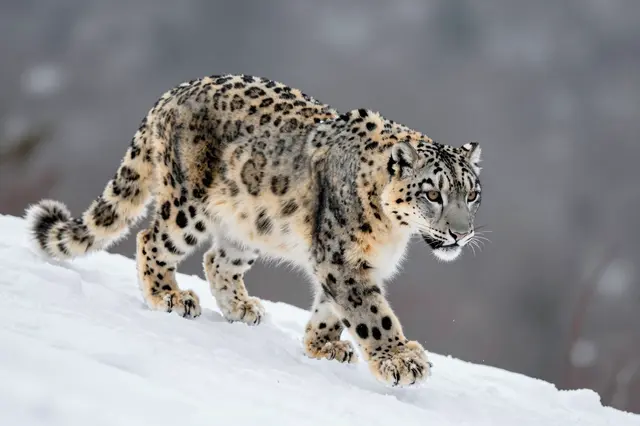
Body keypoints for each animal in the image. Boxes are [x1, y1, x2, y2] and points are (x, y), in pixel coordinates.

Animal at [25, 74, 483, 387]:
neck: (392, 234)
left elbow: (331, 308)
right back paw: (169, 296)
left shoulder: (353, 264)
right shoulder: (343, 259)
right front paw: (401, 359)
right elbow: (371, 313)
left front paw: (323, 345)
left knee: (216, 259)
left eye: (472, 193)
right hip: (187, 206)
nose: (460, 233)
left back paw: (241, 307)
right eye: (433, 193)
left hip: (247, 225)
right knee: (151, 239)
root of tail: (173, 93)